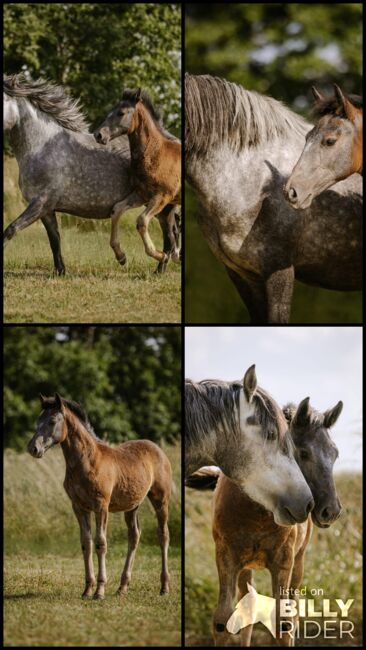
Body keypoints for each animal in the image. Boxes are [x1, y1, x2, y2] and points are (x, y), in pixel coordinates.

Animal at [2, 74, 180, 274]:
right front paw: (60, 271)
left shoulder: (41, 203)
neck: (42, 146)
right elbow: (54, 239)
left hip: (161, 203)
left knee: (169, 235)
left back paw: (159, 268)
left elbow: (11, 230)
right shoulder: (46, 209)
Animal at [27, 390, 172, 596]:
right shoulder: (79, 506)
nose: (33, 448)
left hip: (161, 500)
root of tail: (157, 448)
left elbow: (101, 543)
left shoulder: (101, 505)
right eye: (38, 419)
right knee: (134, 536)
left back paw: (164, 587)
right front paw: (87, 589)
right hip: (132, 505)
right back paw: (122, 587)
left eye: (52, 421)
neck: (86, 461)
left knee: (163, 535)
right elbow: (86, 543)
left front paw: (99, 591)